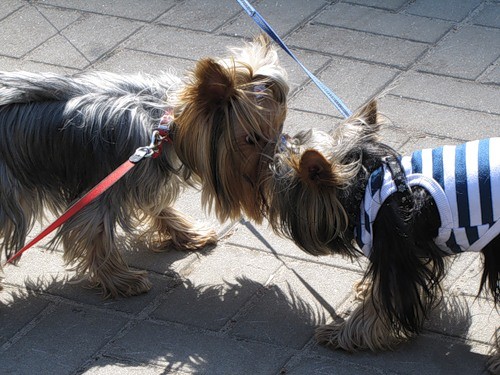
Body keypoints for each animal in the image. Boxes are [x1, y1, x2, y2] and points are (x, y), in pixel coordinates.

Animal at [266, 101, 500, 374]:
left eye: (278, 183)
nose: (266, 202)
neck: (363, 184)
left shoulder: (395, 254)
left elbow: (378, 302)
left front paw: (341, 334)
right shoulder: (414, 249)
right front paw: (365, 289)